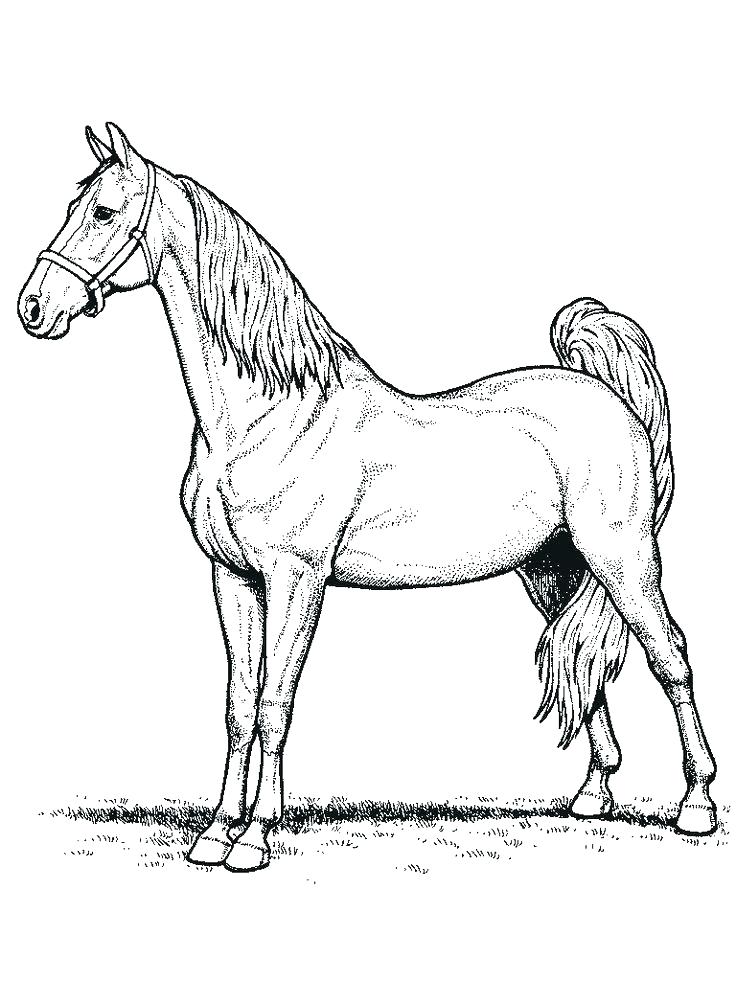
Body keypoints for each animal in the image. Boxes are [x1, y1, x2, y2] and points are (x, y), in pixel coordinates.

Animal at [18, 123, 718, 872]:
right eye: (75, 205)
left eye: (103, 213)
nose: (33, 307)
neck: (266, 416)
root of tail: (607, 395)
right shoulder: (232, 577)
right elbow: (239, 705)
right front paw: (215, 833)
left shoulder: (296, 578)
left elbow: (274, 703)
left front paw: (254, 838)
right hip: (553, 569)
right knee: (581, 655)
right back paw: (592, 795)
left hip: (624, 558)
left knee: (670, 655)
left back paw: (696, 805)